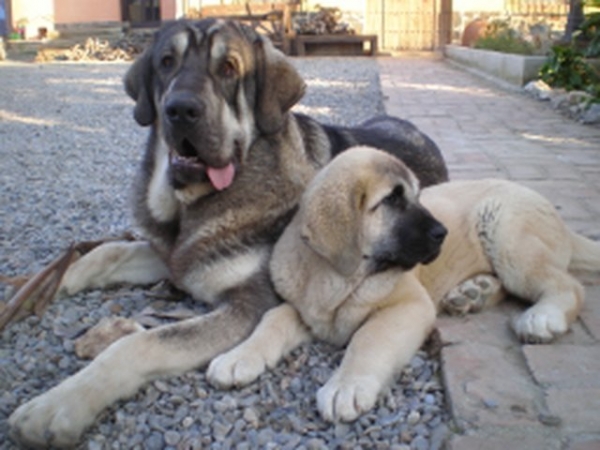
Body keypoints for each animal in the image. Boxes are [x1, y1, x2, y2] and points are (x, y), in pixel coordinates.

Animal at [7, 20, 448, 446]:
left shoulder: (248, 305)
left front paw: (59, 405)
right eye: (166, 62)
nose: (180, 109)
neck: (194, 205)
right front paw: (49, 284)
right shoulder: (180, 254)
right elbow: (109, 252)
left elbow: (139, 343)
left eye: (229, 69)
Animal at [207, 147, 600, 422]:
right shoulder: (305, 310)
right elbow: (271, 320)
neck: (339, 279)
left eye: (417, 196)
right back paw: (473, 293)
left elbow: (368, 340)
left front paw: (346, 385)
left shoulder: (408, 305)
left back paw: (543, 318)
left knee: (567, 285)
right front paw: (238, 357)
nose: (442, 232)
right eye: (392, 201)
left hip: (508, 236)